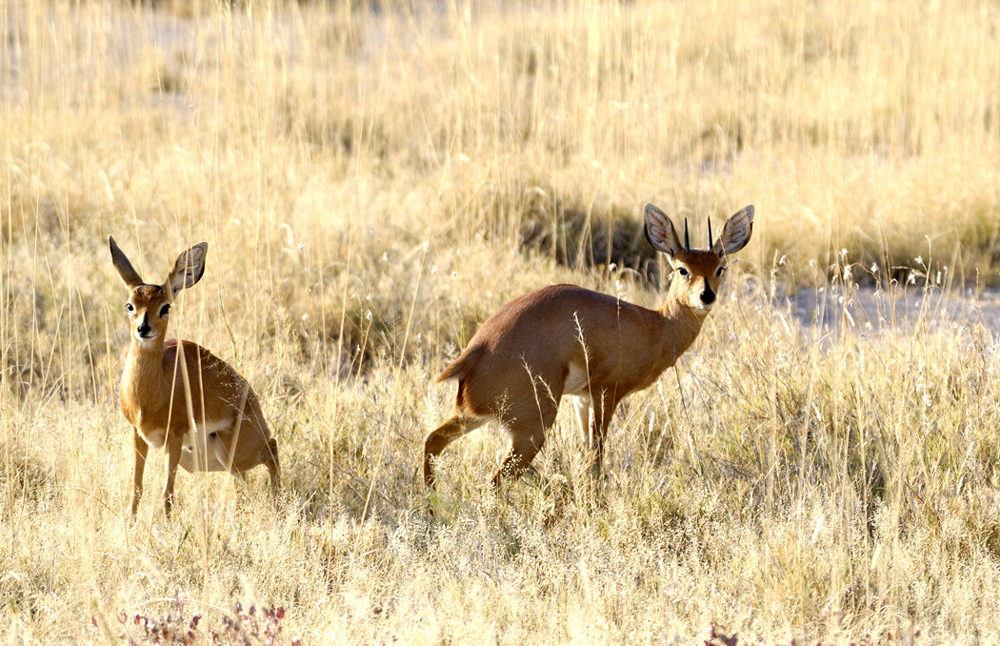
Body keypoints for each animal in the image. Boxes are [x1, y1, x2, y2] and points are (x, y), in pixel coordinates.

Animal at [109, 235, 280, 520]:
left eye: (165, 306)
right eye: (130, 305)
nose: (144, 328)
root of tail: (252, 401)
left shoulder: (174, 436)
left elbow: (167, 493)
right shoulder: (137, 434)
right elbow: (137, 488)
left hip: (233, 452)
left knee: (272, 448)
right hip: (212, 460)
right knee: (242, 481)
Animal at [424, 202, 756, 492]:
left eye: (720, 268)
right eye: (682, 269)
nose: (706, 296)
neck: (655, 325)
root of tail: (475, 353)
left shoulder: (581, 399)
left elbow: (587, 456)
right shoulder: (606, 392)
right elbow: (596, 459)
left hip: (476, 417)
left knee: (432, 441)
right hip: (532, 429)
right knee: (494, 483)